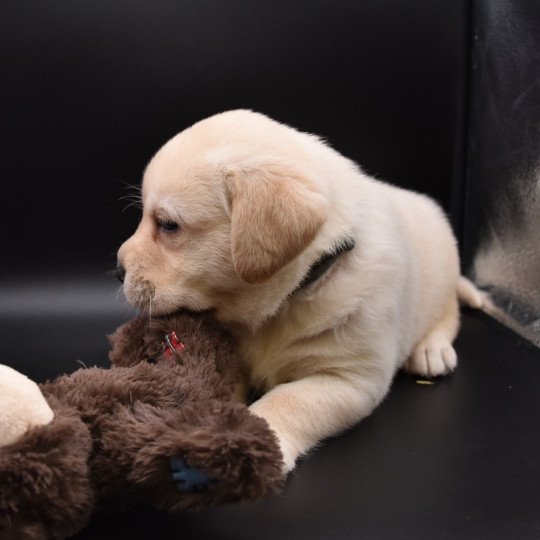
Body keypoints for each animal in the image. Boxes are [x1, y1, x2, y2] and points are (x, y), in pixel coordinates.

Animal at [117, 110, 480, 472]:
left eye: (168, 225)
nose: (119, 269)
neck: (292, 296)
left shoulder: (351, 379)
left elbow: (288, 401)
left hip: (443, 270)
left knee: (450, 309)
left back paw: (431, 349)